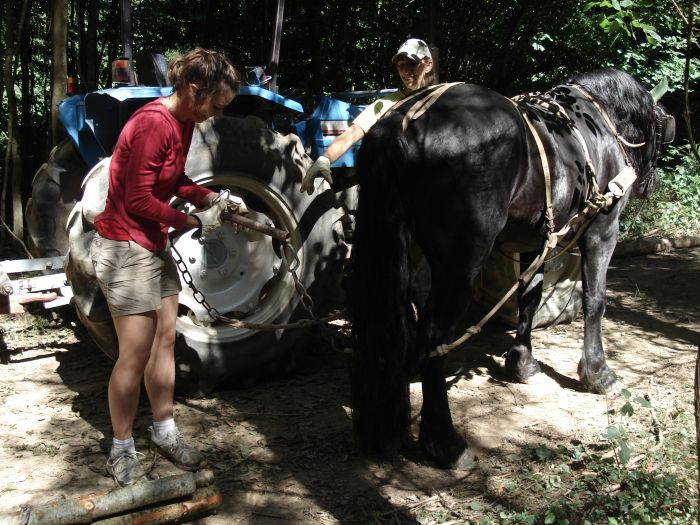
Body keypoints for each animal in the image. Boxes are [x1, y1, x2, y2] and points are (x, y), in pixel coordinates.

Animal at [348, 68, 676, 466]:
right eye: (659, 131)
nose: (652, 184)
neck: (600, 125)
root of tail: (403, 123)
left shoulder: (536, 242)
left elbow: (529, 301)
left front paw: (522, 363)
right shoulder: (602, 231)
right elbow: (595, 302)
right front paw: (598, 373)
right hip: (461, 266)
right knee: (434, 335)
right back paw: (443, 440)